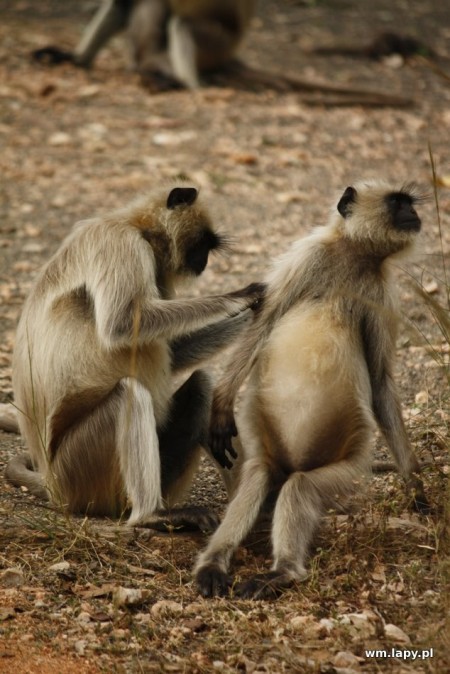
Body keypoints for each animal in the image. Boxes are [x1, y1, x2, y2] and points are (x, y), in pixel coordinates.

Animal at [2, 184, 264, 532]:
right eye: (202, 244)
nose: (204, 261)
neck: (137, 226)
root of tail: (52, 484)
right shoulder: (120, 243)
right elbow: (122, 324)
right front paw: (243, 297)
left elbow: (170, 351)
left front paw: (254, 315)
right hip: (80, 471)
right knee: (130, 392)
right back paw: (151, 515)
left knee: (202, 383)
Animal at [195, 180, 430, 600]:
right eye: (398, 203)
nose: (414, 215)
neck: (355, 256)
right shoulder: (309, 256)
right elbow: (263, 322)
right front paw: (220, 408)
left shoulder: (382, 293)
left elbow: (381, 383)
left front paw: (415, 487)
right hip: (271, 453)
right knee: (258, 476)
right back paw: (214, 564)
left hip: (344, 470)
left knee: (300, 487)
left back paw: (281, 572)